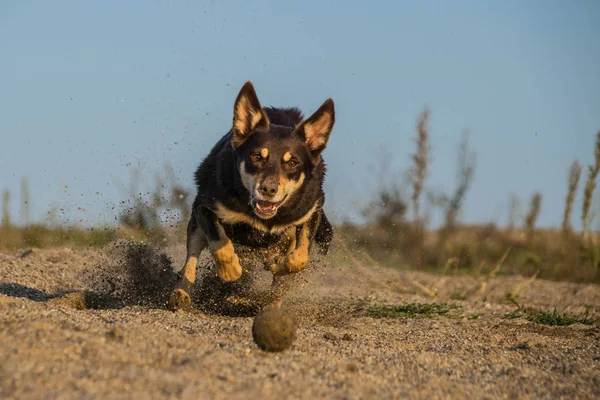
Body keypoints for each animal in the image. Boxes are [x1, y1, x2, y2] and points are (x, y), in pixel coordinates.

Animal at [168, 82, 338, 312]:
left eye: (292, 162)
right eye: (257, 156)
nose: (268, 189)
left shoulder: (311, 211)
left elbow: (299, 258)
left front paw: (277, 264)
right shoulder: (205, 206)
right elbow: (220, 243)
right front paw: (230, 270)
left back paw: (272, 302)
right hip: (196, 225)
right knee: (190, 260)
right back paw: (180, 294)